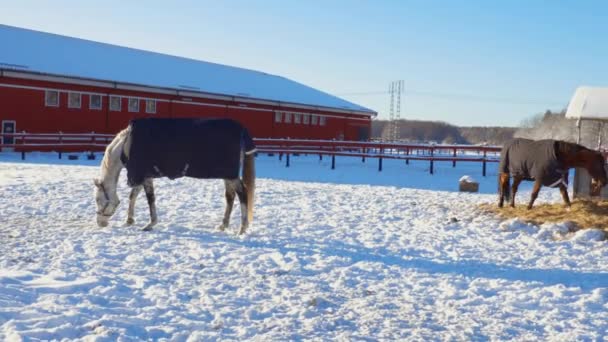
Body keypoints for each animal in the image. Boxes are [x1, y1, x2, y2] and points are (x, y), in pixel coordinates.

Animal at [94, 121, 255, 234]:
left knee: (242, 193)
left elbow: (150, 199)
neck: (126, 145)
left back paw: (242, 228)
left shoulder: (143, 175)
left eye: (98, 200)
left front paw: (150, 224)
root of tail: (241, 130)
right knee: (230, 196)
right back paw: (223, 225)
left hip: (231, 176)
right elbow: (133, 195)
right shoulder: (144, 175)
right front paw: (129, 220)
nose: (100, 223)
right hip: (227, 175)